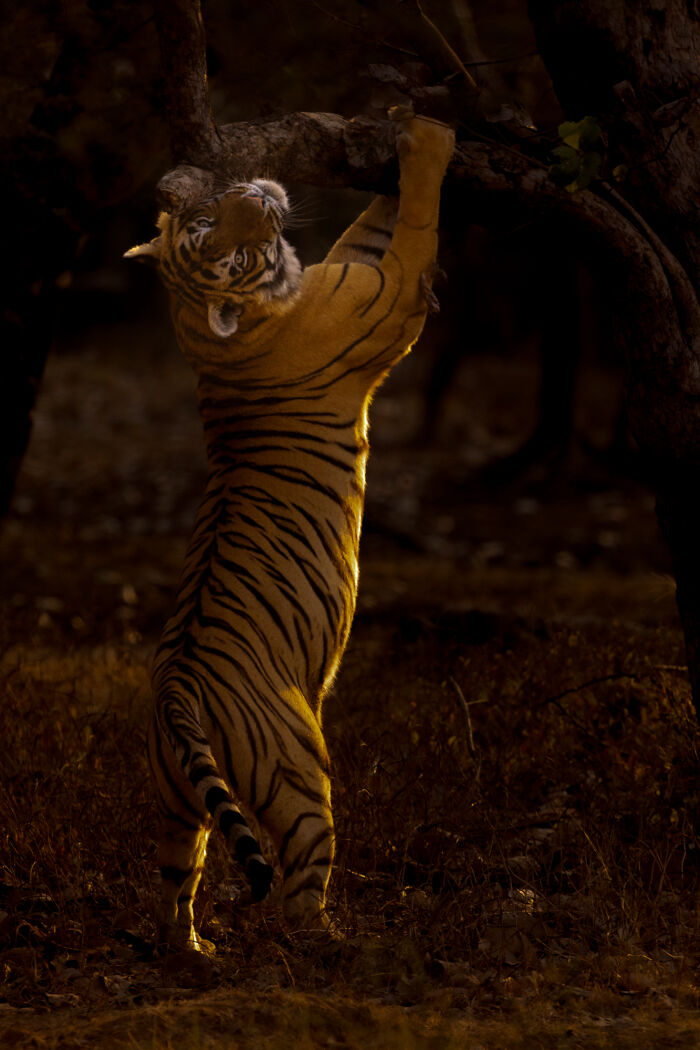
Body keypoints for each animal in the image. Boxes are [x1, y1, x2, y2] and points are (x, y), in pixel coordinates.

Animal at [124, 110, 455, 950]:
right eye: (226, 250)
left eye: (214, 219)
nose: (259, 196)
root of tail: (177, 690)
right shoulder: (386, 298)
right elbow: (416, 219)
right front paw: (426, 134)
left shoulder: (355, 270)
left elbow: (376, 221)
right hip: (300, 769)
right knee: (301, 889)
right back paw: (332, 943)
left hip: (175, 799)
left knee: (175, 876)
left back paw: (194, 953)